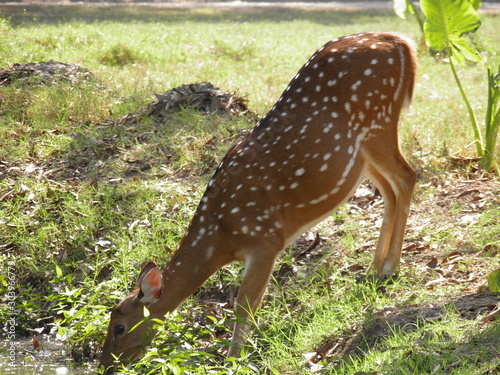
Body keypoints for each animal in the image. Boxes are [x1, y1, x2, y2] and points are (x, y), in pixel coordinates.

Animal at [99, 32, 416, 374]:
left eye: (119, 327)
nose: (104, 364)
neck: (221, 234)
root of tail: (398, 41)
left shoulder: (265, 240)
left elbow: (244, 304)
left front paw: (232, 360)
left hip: (378, 120)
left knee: (407, 177)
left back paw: (390, 267)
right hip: (362, 153)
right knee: (389, 189)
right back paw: (373, 268)